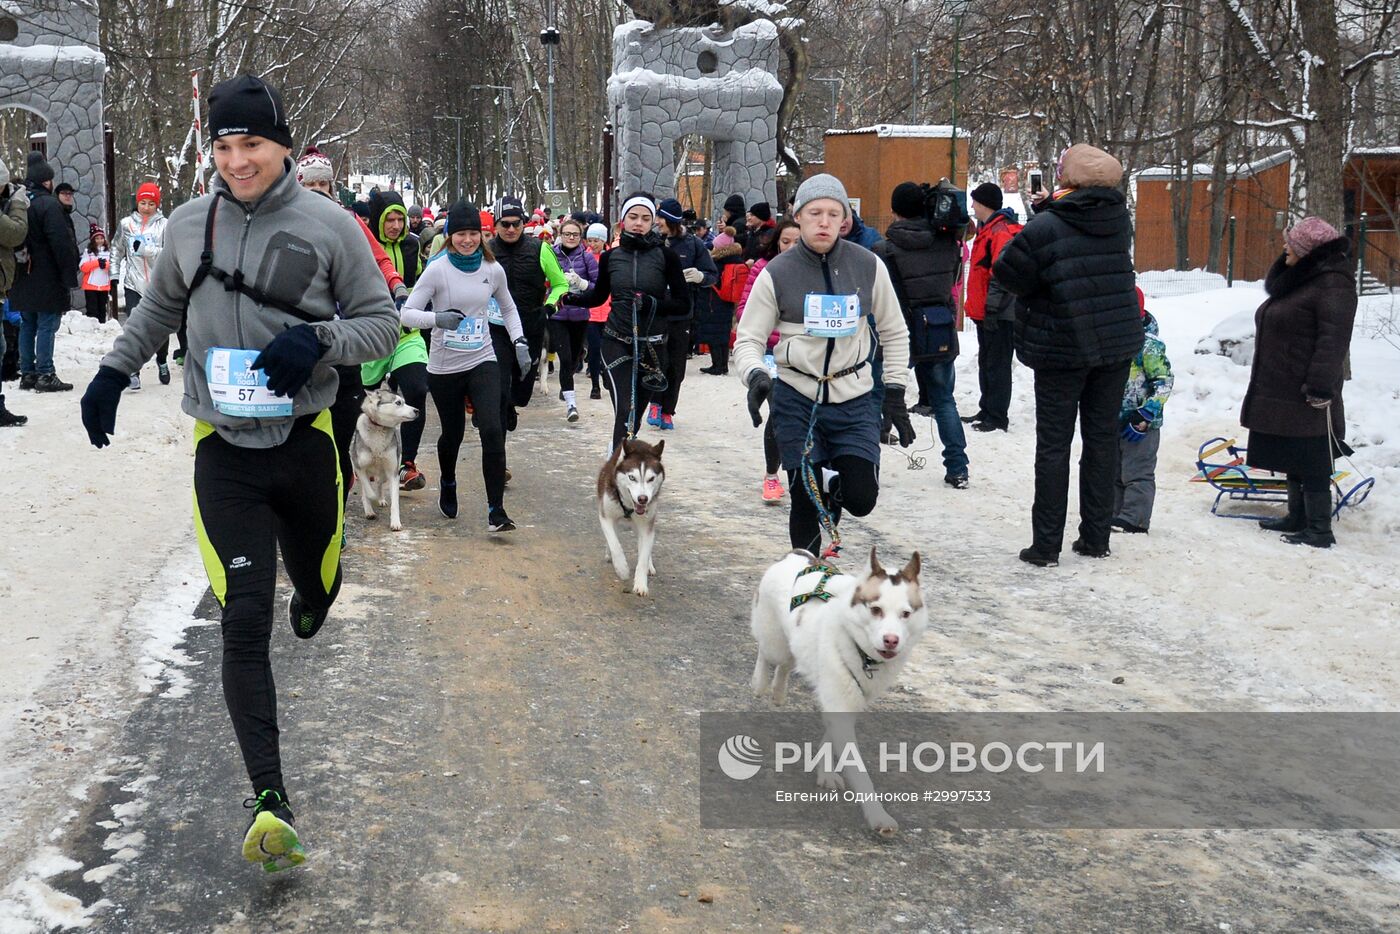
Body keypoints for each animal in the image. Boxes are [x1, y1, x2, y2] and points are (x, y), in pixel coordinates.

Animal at [347, 386, 417, 532]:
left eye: (404, 401)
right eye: (398, 403)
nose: (417, 411)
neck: (378, 428)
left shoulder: (393, 473)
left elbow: (395, 502)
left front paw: (395, 522)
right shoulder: (359, 468)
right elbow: (368, 491)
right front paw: (371, 501)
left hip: (384, 473)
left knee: (379, 482)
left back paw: (381, 499)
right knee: (367, 488)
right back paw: (369, 511)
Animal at [596, 439, 666, 599]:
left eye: (651, 478)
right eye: (632, 477)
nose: (642, 499)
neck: (628, 505)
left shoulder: (646, 526)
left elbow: (643, 556)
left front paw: (641, 583)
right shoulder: (606, 517)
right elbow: (615, 544)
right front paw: (622, 569)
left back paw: (650, 565)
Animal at [750, 543, 924, 834]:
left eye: (906, 613)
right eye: (876, 609)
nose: (891, 640)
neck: (861, 652)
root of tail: (797, 555)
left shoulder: (849, 701)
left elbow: (830, 738)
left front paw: (825, 771)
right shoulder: (839, 699)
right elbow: (858, 769)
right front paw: (877, 815)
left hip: (794, 646)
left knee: (786, 665)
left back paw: (778, 691)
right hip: (774, 640)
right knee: (768, 653)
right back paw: (760, 682)